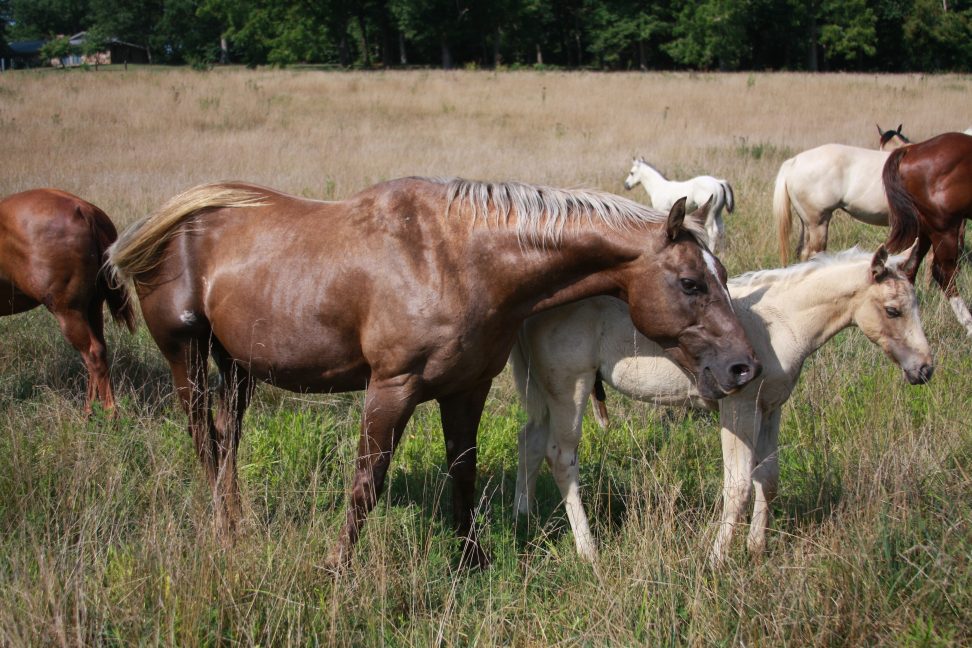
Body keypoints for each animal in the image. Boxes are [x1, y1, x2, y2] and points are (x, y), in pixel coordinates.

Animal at [1, 187, 137, 412]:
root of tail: (84, 209)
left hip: (68, 312)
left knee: (93, 354)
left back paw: (109, 414)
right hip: (92, 309)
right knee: (100, 351)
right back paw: (90, 412)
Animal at [108, 176, 760, 568]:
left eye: (722, 276)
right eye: (691, 283)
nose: (742, 366)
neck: (456, 257)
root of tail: (173, 225)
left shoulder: (467, 389)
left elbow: (462, 473)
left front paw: (472, 560)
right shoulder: (390, 390)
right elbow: (366, 483)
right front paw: (336, 569)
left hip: (237, 368)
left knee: (227, 443)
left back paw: (238, 525)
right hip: (186, 357)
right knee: (205, 440)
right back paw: (224, 532)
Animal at [508, 246, 928, 564]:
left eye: (916, 304)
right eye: (893, 310)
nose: (924, 369)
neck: (779, 321)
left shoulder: (771, 408)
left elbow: (768, 478)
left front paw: (756, 548)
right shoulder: (738, 408)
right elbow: (738, 485)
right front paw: (717, 559)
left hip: (544, 391)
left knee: (530, 440)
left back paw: (522, 519)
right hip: (571, 388)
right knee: (560, 457)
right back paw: (588, 550)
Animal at [884, 130, 972, 336]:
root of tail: (911, 149)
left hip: (923, 231)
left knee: (909, 269)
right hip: (943, 229)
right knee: (944, 273)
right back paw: (969, 324)